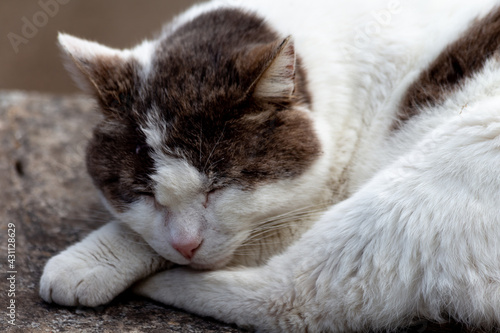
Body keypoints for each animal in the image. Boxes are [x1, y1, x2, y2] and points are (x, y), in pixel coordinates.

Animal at [40, 0, 500, 330]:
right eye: (144, 194)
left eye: (219, 186)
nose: (186, 245)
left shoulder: (304, 211)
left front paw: (90, 260)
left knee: (295, 300)